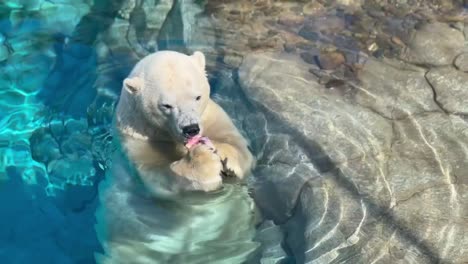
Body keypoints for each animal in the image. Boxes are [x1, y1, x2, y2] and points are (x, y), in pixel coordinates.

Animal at [93, 50, 258, 262]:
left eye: (197, 96)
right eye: (166, 105)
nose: (191, 128)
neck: (166, 135)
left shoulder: (211, 116)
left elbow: (240, 148)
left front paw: (226, 155)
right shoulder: (138, 140)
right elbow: (158, 179)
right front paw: (203, 161)